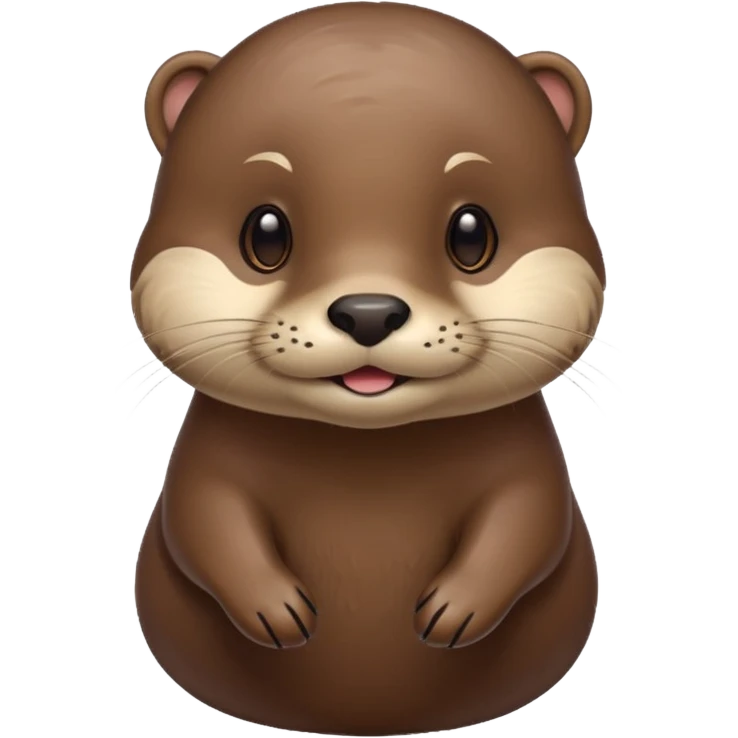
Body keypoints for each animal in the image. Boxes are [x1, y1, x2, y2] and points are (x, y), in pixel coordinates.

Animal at [130, 2, 607, 734]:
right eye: (265, 233)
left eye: (472, 233)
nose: (369, 311)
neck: (368, 456)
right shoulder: (206, 459)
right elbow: (205, 518)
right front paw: (276, 609)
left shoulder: (528, 459)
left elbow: (529, 519)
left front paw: (455, 609)